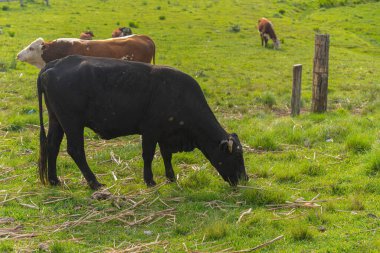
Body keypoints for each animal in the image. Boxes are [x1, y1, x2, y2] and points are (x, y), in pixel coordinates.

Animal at [37, 55, 248, 190]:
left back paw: (54, 180)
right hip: (72, 123)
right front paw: (150, 180)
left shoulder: (165, 133)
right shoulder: (150, 131)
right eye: (237, 157)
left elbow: (166, 156)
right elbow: (148, 155)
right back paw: (94, 183)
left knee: (52, 146)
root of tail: (55, 63)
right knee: (75, 150)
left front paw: (171, 178)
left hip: (56, 120)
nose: (245, 179)